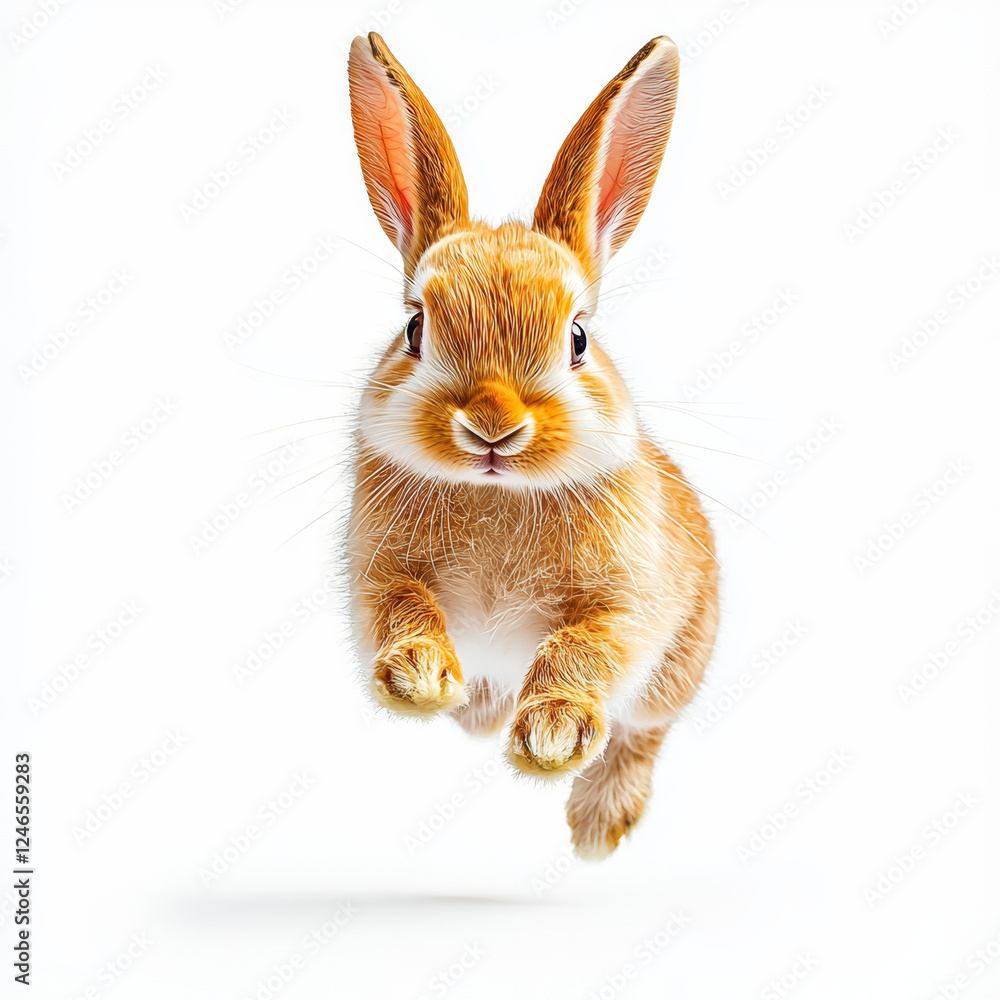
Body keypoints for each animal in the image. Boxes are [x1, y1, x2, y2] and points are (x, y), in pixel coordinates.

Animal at [345, 31, 718, 858]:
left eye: (577, 339)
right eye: (415, 329)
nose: (493, 424)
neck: (498, 493)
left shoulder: (628, 603)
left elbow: (584, 645)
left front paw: (549, 736)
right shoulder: (379, 571)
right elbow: (403, 605)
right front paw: (419, 676)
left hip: (680, 662)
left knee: (644, 732)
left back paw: (599, 824)